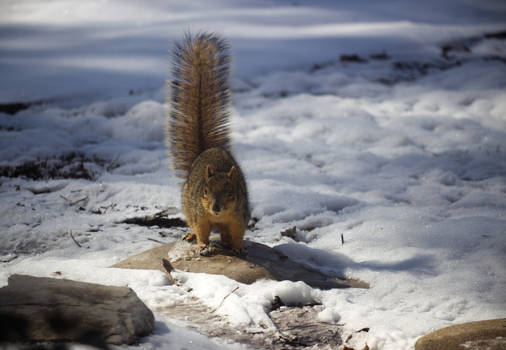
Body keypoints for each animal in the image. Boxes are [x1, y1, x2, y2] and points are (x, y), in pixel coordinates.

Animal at [167, 32, 250, 256]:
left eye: (230, 193)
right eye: (205, 191)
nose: (216, 207)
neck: (218, 217)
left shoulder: (238, 217)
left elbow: (238, 233)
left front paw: (238, 247)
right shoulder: (200, 215)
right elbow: (201, 230)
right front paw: (203, 245)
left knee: (225, 234)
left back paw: (227, 242)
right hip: (188, 207)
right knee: (194, 226)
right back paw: (190, 235)